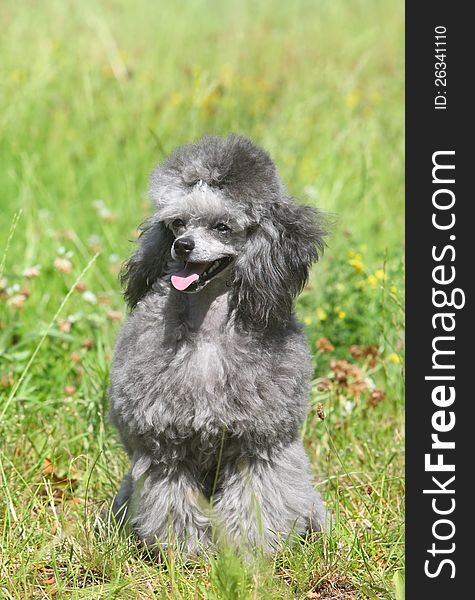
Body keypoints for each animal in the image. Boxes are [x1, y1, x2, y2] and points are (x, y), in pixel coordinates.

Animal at [109, 135, 330, 552]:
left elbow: (255, 502)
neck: (207, 330)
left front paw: (249, 551)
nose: (182, 245)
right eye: (177, 222)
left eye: (223, 227)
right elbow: (172, 502)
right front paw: (184, 552)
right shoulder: (164, 445)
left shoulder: (260, 445)